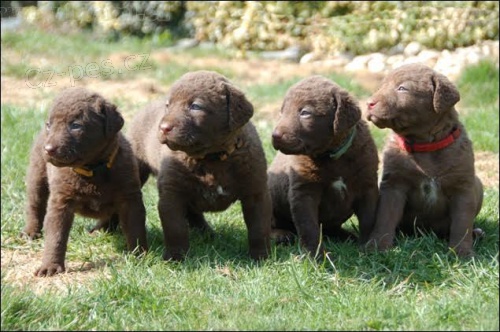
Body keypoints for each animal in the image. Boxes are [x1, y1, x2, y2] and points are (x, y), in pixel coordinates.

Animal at [23, 87, 147, 278]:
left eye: (75, 125)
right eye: (50, 124)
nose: (49, 149)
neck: (93, 169)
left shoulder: (130, 198)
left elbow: (135, 227)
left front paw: (139, 255)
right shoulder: (61, 201)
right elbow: (56, 236)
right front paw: (50, 266)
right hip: (37, 174)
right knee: (35, 204)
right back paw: (31, 231)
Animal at [127, 70, 272, 262]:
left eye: (196, 106)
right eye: (168, 106)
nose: (163, 128)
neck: (212, 158)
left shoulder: (255, 192)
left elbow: (259, 228)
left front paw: (261, 257)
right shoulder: (171, 195)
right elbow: (175, 229)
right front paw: (175, 258)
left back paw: (206, 233)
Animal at [270, 76, 378, 256]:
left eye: (305, 112)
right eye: (282, 111)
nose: (275, 136)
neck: (332, 156)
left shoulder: (367, 186)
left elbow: (369, 219)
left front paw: (368, 248)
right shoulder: (304, 191)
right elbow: (308, 226)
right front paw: (315, 255)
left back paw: (347, 236)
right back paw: (280, 235)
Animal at [366, 61, 482, 256]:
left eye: (402, 88)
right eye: (381, 87)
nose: (369, 103)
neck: (425, 146)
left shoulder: (463, 187)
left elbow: (462, 223)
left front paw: (461, 252)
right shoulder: (394, 184)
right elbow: (386, 217)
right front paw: (377, 245)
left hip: (477, 184)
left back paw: (476, 233)